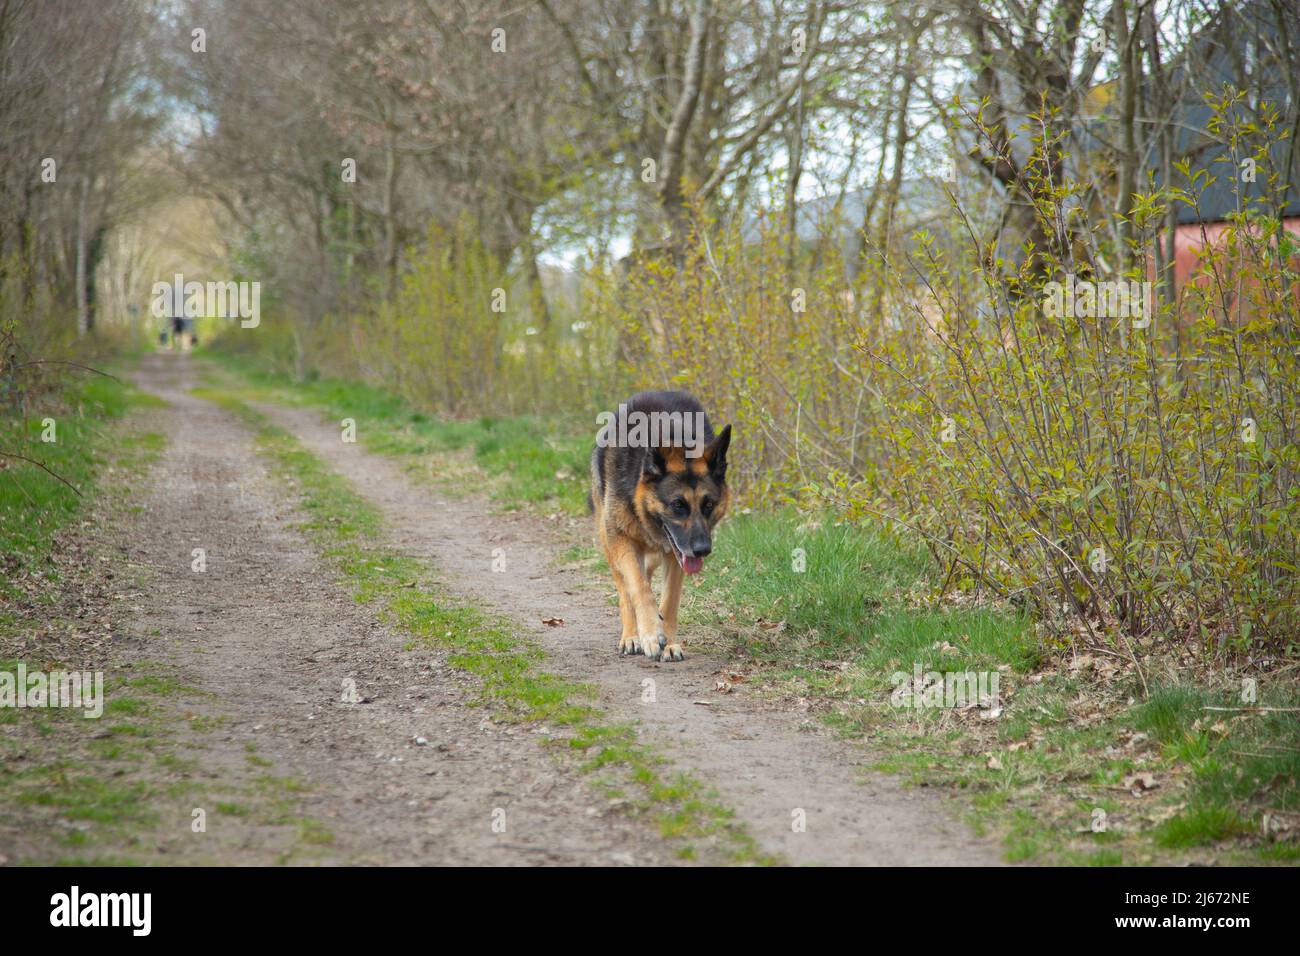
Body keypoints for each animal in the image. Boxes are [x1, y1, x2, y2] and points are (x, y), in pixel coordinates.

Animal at [592, 392, 733, 660]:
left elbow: (669, 601)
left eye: (708, 504)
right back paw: (631, 635)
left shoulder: (676, 555)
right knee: (626, 587)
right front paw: (648, 633)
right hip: (608, 539)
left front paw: (668, 642)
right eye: (677, 504)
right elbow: (638, 588)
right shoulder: (622, 540)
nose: (702, 550)